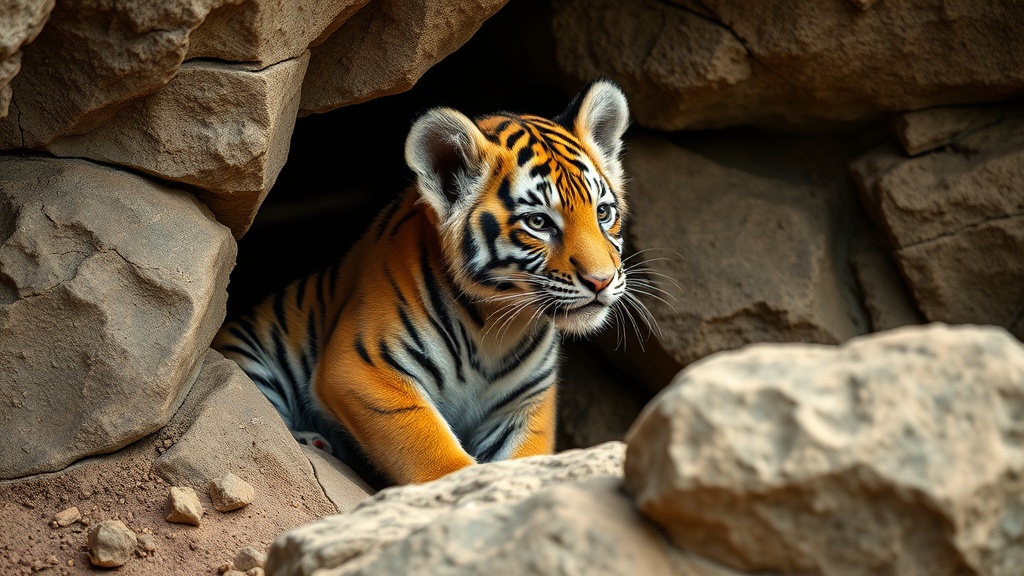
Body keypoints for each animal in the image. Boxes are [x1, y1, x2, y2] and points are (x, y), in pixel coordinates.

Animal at [213, 79, 634, 486]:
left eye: (603, 212)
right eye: (539, 222)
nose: (601, 281)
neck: (494, 329)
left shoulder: (527, 405)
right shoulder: (362, 365)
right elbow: (429, 447)